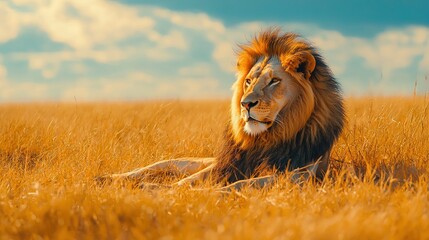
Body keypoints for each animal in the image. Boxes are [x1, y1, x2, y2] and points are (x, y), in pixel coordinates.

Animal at [98, 28, 344, 190]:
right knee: (159, 165)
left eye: (274, 81)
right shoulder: (227, 165)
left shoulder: (301, 175)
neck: (265, 140)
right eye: (249, 81)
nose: (246, 104)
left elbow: (239, 185)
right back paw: (108, 178)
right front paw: (161, 189)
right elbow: (188, 181)